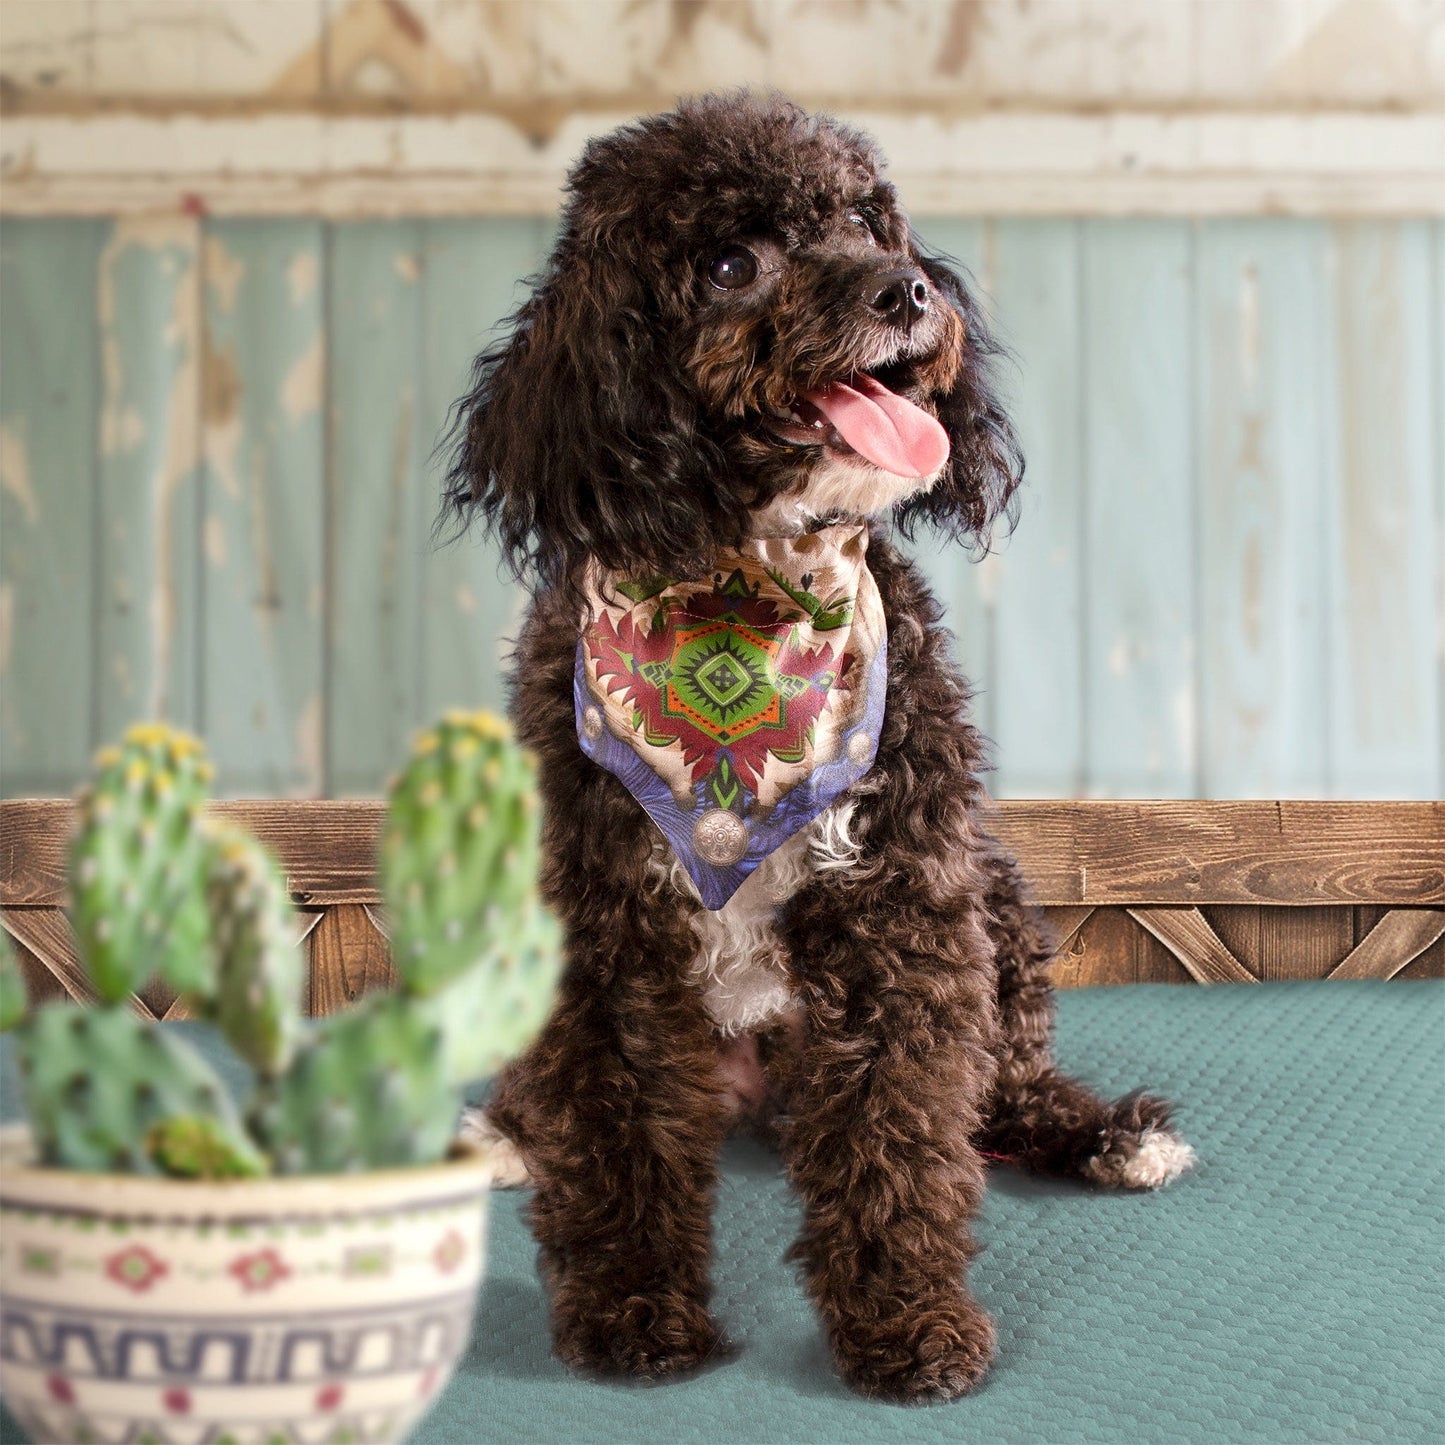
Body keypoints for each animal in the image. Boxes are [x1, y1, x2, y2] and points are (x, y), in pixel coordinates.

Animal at [442, 90, 1196, 1398]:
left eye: (865, 220)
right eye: (729, 263)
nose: (907, 289)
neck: (748, 599)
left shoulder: (901, 906)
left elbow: (898, 1132)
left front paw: (906, 1319)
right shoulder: (594, 926)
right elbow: (614, 1125)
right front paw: (631, 1303)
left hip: (994, 902)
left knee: (998, 1086)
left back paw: (1107, 1133)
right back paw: (507, 1128)